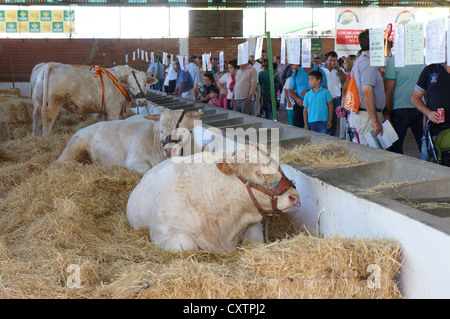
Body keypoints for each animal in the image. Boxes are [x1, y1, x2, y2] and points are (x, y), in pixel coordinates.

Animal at [56, 109, 202, 174]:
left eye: (185, 130)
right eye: (161, 131)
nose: (169, 150)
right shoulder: (134, 160)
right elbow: (147, 169)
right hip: (73, 149)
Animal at [126, 144, 300, 254]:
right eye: (258, 172)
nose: (294, 196)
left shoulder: (253, 225)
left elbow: (256, 239)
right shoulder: (163, 232)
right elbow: (187, 245)